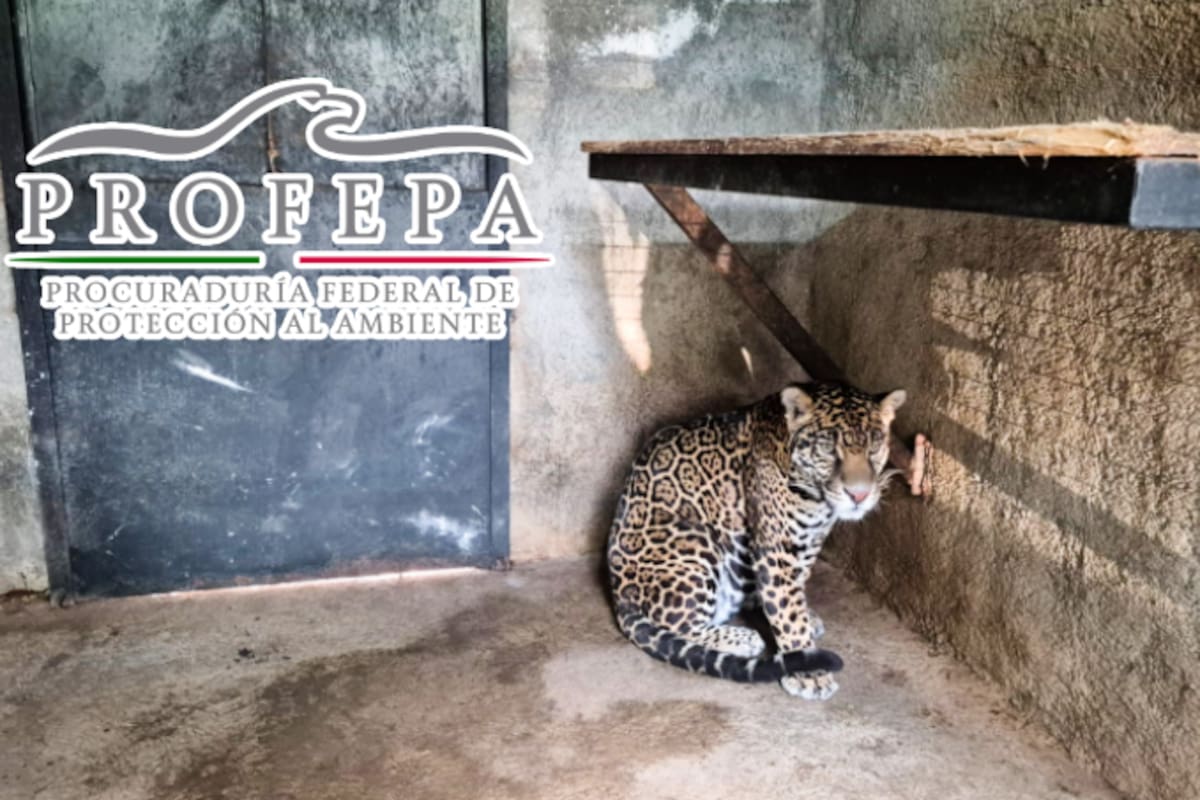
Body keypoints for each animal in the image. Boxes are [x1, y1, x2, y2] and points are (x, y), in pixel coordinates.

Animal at [607, 381, 906, 700]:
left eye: (874, 446)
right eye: (828, 449)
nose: (859, 495)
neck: (816, 499)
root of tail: (619, 597)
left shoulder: (809, 541)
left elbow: (794, 589)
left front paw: (803, 620)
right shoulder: (777, 548)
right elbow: (787, 608)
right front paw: (809, 671)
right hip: (695, 541)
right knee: (679, 625)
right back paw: (742, 637)